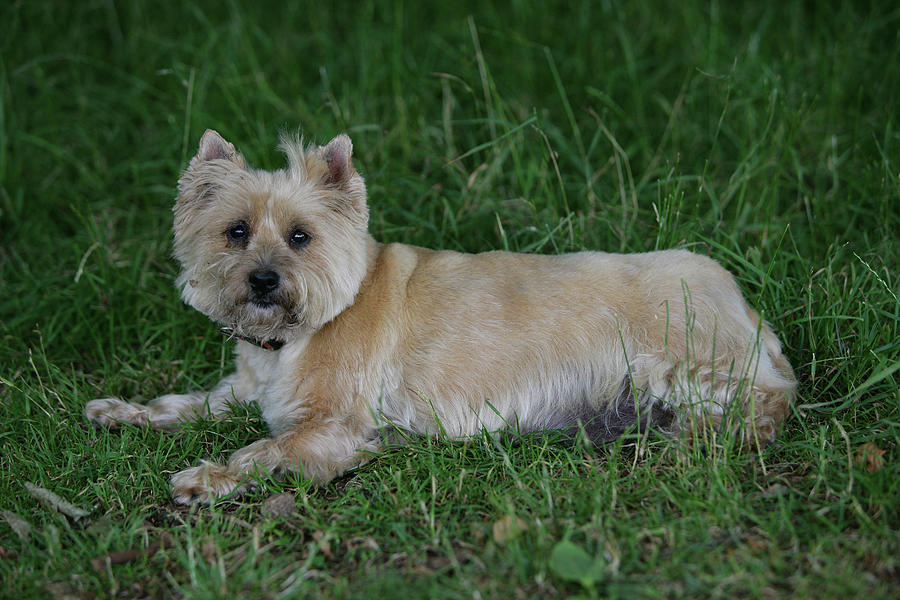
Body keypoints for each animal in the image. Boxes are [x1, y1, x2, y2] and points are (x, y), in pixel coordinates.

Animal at [86, 129, 796, 504]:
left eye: (299, 237)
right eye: (235, 232)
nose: (263, 280)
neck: (290, 339)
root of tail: (745, 305)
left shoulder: (335, 430)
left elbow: (263, 448)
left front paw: (206, 476)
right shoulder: (242, 388)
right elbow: (186, 403)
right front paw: (124, 412)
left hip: (685, 365)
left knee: (760, 410)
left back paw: (686, 440)